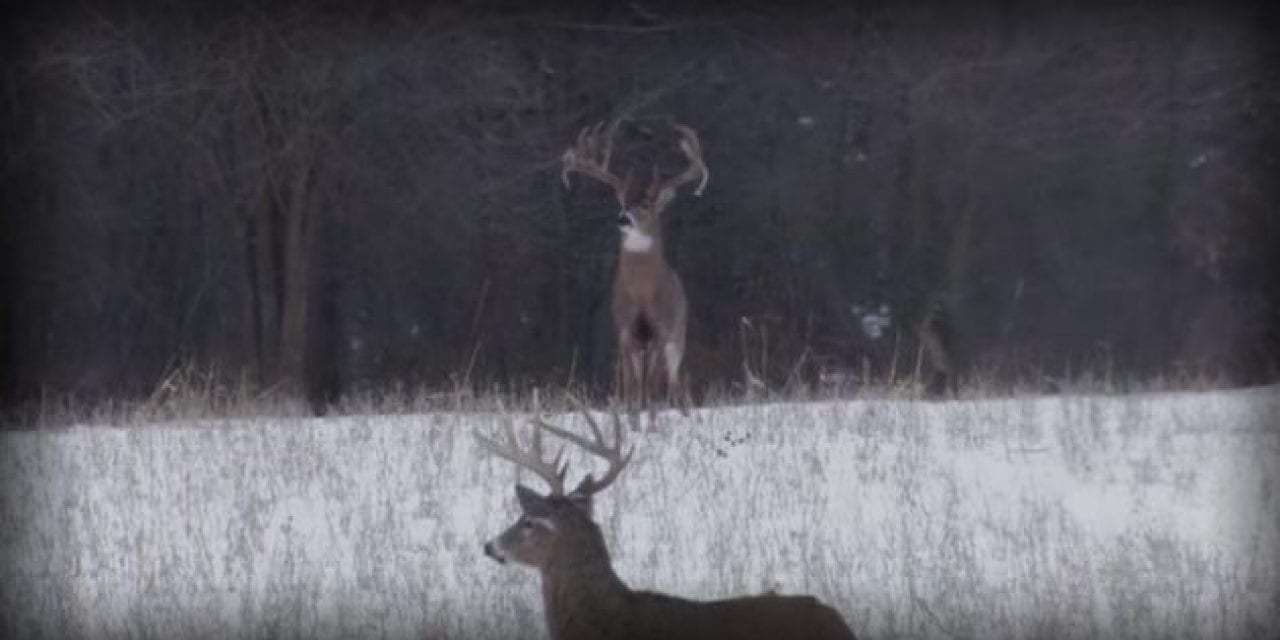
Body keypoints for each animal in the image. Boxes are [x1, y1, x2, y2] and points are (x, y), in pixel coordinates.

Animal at [558, 120, 706, 419]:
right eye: (623, 203)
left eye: (646, 205)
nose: (623, 219)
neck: (642, 297)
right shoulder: (625, 331)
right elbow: (631, 386)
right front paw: (630, 412)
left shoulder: (662, 330)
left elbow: (651, 385)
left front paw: (649, 412)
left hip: (677, 340)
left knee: (675, 385)